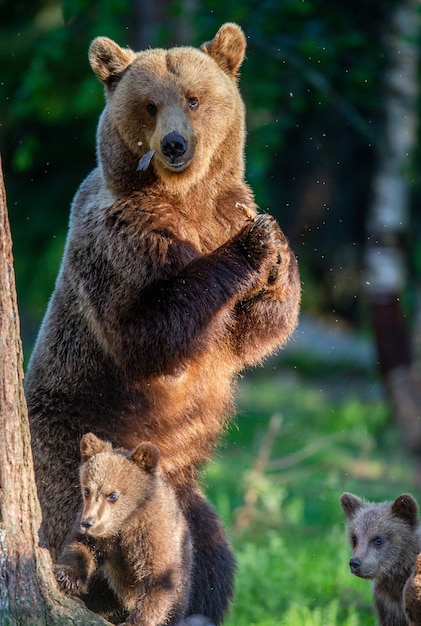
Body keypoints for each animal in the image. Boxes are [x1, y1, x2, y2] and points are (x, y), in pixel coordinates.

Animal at [25, 22, 298, 620]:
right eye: (151, 105)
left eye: (194, 99)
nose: (175, 144)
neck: (183, 200)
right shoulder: (120, 240)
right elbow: (150, 330)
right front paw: (255, 244)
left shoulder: (221, 211)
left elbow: (255, 334)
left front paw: (277, 254)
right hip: (72, 451)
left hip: (180, 495)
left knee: (213, 556)